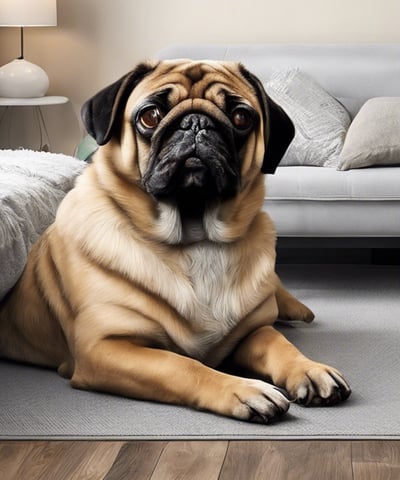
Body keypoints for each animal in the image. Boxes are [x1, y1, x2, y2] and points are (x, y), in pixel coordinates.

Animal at [0, 61, 350, 424]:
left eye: (241, 117)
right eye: (150, 116)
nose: (197, 122)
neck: (196, 239)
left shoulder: (253, 332)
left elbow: (279, 344)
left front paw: (309, 369)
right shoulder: (103, 348)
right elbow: (181, 365)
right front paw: (244, 390)